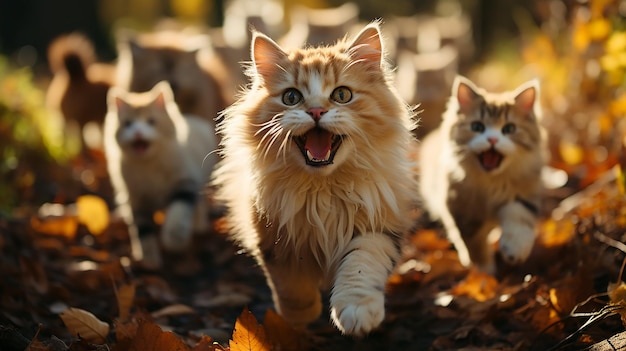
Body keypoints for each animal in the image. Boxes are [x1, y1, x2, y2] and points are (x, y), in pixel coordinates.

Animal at [103, 82, 218, 270]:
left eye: (151, 121)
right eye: (128, 124)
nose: (137, 132)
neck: (149, 164)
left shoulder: (185, 180)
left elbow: (179, 209)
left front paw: (174, 240)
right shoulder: (135, 199)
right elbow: (142, 230)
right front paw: (149, 259)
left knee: (198, 202)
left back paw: (199, 226)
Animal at [212, 21, 416, 336]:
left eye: (342, 95)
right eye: (291, 97)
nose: (316, 111)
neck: (323, 189)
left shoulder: (378, 224)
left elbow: (361, 265)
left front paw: (357, 314)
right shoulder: (273, 235)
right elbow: (291, 285)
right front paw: (299, 319)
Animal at [416, 76, 544, 276]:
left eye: (509, 129)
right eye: (477, 127)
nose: (492, 140)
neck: (491, 183)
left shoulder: (522, 195)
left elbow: (519, 220)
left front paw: (514, 250)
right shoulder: (462, 210)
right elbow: (474, 244)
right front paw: (484, 271)